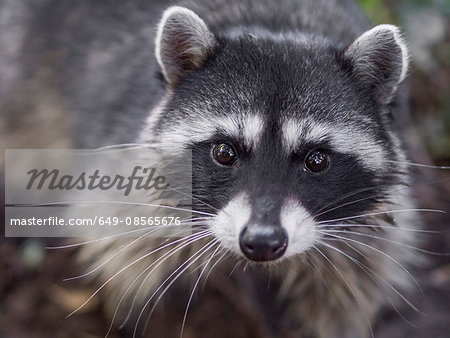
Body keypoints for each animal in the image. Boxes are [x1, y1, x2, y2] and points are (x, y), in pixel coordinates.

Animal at [0, 0, 422, 338]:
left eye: (316, 160)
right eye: (224, 152)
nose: (262, 242)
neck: (276, 26)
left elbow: (342, 300)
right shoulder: (126, 185)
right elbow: (124, 260)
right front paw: (129, 318)